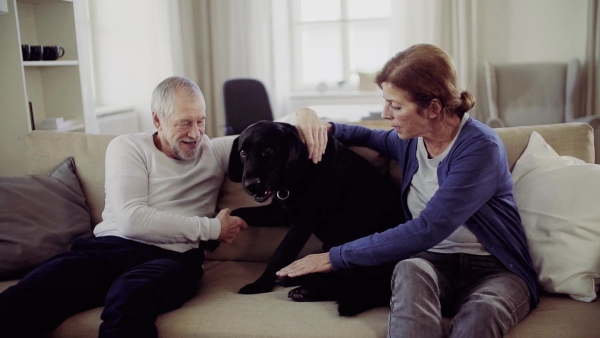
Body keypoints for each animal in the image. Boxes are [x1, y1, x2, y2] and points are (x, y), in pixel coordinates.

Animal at [227, 121, 406, 316]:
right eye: (242, 152)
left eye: (268, 150)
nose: (250, 185)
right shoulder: (278, 212)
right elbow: (237, 212)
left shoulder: (302, 223)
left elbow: (279, 254)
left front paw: (260, 285)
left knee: (352, 283)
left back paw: (303, 289)